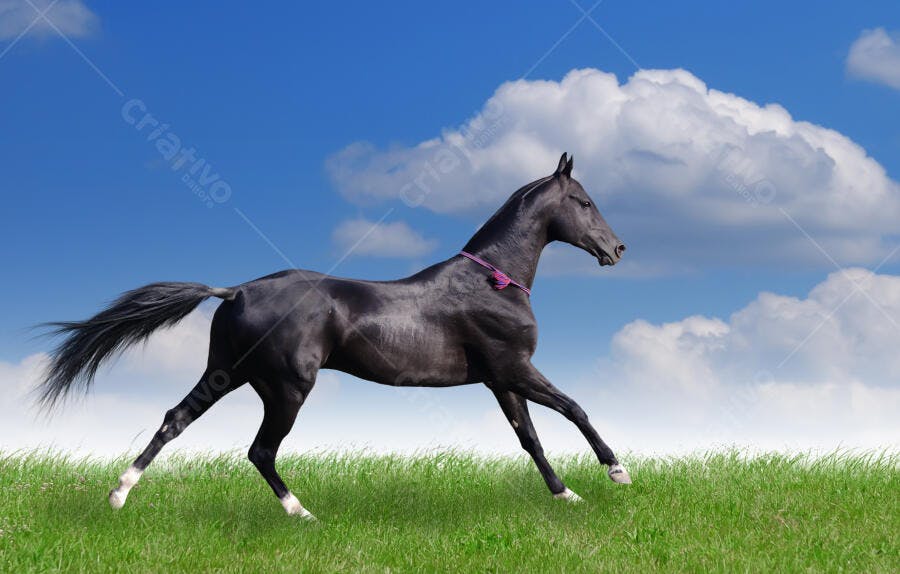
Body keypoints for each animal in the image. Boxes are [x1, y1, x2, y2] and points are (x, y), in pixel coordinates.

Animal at [37, 153, 629, 520]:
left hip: (226, 374)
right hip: (287, 388)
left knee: (174, 421)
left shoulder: (500, 379)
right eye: (584, 202)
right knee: (259, 450)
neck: (493, 281)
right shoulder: (514, 368)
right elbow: (574, 408)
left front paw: (567, 495)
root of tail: (236, 291)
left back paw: (118, 495)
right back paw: (302, 513)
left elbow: (530, 438)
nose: (617, 249)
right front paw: (617, 472)